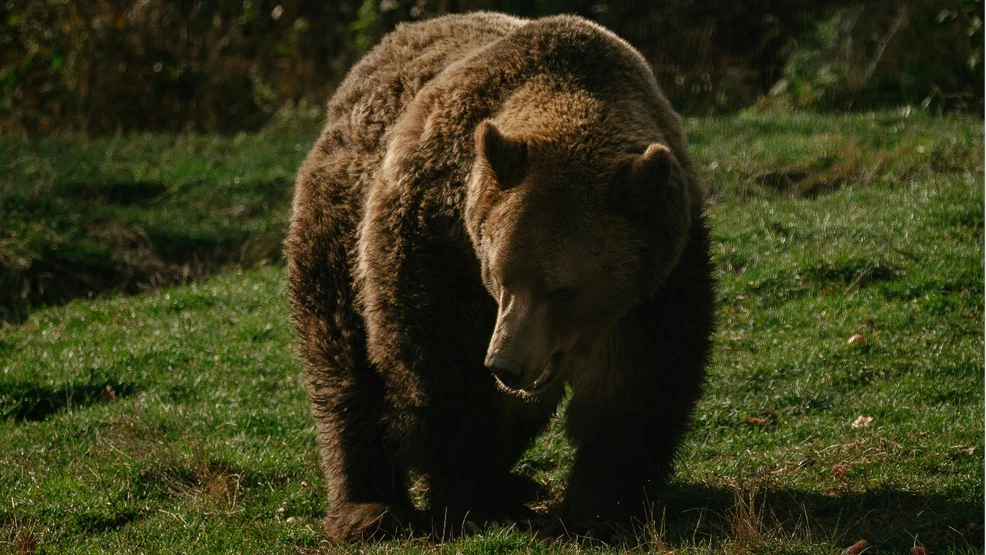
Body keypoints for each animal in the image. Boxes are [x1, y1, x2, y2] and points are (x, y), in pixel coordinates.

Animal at [285, 12, 715, 542]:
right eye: (501, 276)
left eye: (563, 289)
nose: (505, 364)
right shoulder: (439, 242)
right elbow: (442, 379)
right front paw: (468, 498)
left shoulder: (657, 278)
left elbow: (636, 388)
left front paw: (601, 508)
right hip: (339, 230)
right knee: (345, 362)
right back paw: (371, 509)